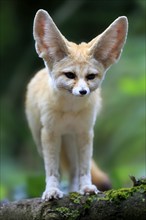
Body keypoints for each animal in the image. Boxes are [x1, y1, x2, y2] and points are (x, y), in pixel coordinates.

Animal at [25, 9, 128, 200]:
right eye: (70, 75)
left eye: (90, 77)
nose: (82, 92)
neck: (70, 111)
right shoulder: (50, 134)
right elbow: (52, 171)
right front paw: (51, 190)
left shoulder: (85, 132)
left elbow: (84, 169)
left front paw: (86, 187)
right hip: (44, 141)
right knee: (62, 169)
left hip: (71, 142)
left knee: (73, 170)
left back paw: (73, 190)